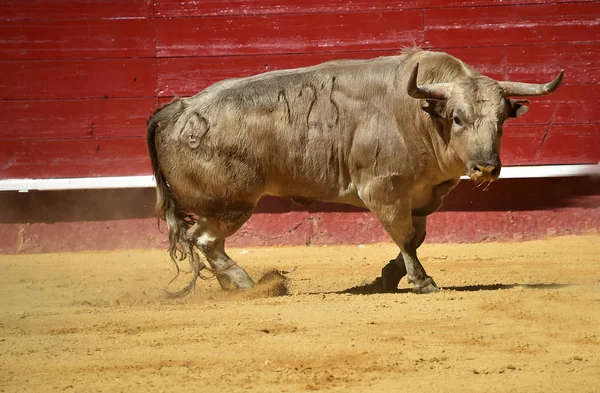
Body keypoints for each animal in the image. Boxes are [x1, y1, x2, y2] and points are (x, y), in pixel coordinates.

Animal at [145, 48, 564, 294]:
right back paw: (246, 283)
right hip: (230, 204)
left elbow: (415, 237)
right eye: (457, 118)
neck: (419, 116)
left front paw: (389, 276)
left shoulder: (422, 195)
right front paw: (421, 281)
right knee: (205, 239)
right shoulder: (383, 190)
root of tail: (179, 108)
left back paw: (237, 284)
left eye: (502, 120)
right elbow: (405, 236)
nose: (486, 167)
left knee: (203, 241)